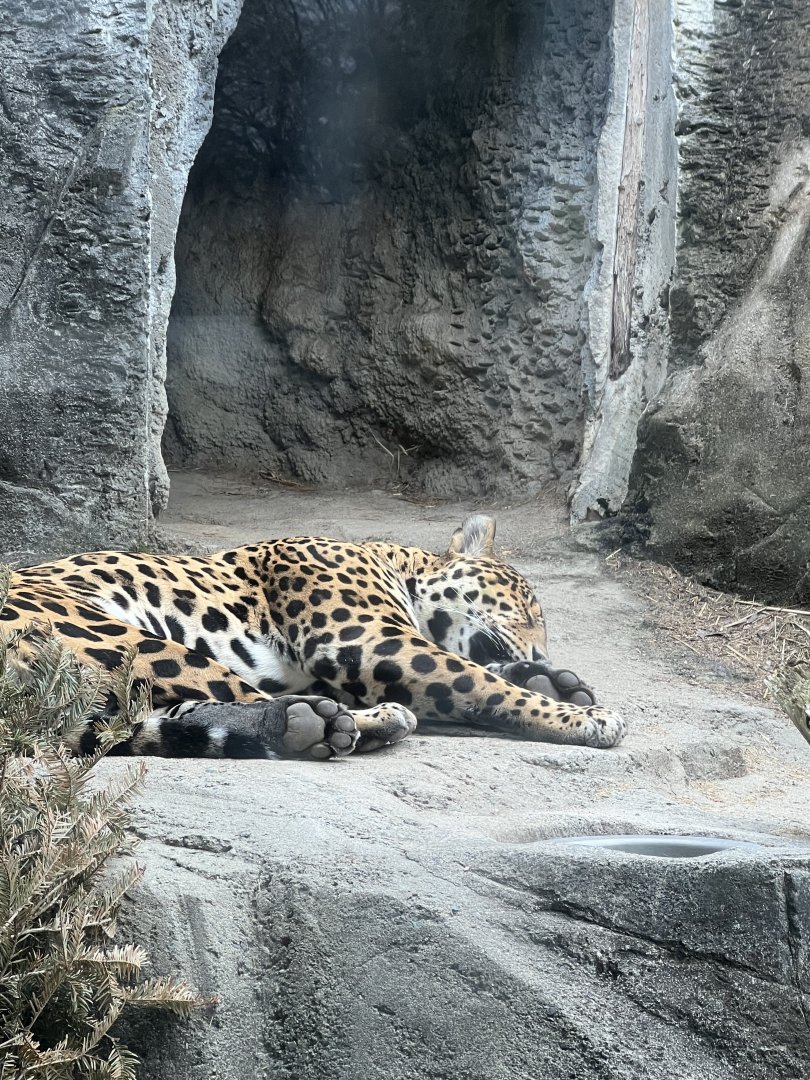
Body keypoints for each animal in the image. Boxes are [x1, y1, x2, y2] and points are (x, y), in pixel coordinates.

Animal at [1, 514, 626, 760]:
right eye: (524, 606)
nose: (542, 649)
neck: (393, 560)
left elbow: (481, 674)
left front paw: (555, 681)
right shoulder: (369, 640)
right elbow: (477, 682)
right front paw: (585, 717)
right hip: (121, 635)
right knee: (231, 697)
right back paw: (342, 724)